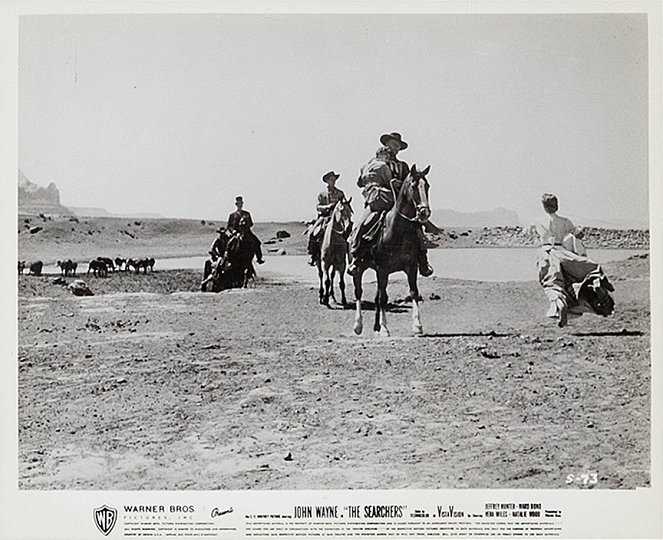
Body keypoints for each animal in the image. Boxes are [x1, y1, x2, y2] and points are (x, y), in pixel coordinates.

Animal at [352, 163, 430, 338]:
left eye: (427, 186)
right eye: (413, 186)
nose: (424, 212)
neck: (397, 231)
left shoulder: (411, 267)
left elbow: (414, 292)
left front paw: (417, 326)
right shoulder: (383, 269)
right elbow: (383, 299)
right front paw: (385, 328)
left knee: (375, 296)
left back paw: (375, 328)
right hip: (360, 268)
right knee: (359, 292)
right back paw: (358, 325)